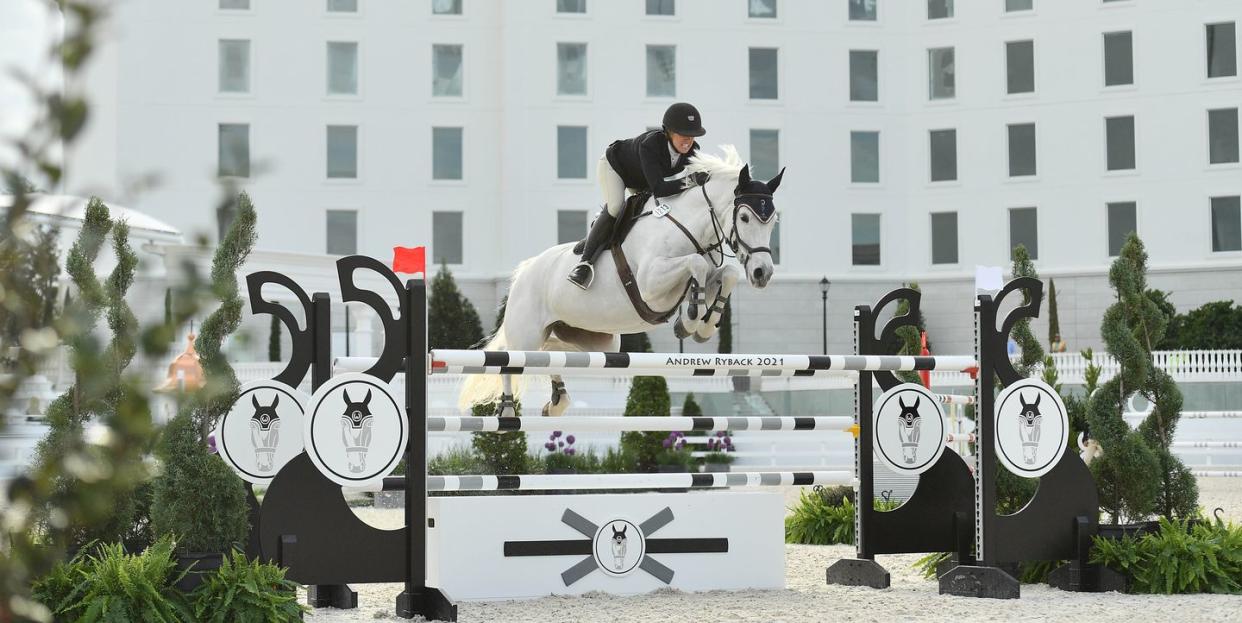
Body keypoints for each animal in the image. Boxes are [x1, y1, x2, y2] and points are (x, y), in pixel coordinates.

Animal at [457, 145, 784, 416]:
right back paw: (507, 409)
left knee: (548, 353)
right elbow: (696, 265)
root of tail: (524, 271)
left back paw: (558, 401)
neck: (688, 225)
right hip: (527, 331)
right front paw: (691, 319)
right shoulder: (651, 284)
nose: (762, 273)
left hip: (594, 340)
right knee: (512, 361)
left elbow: (725, 274)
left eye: (772, 221)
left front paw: (702, 323)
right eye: (744, 218)